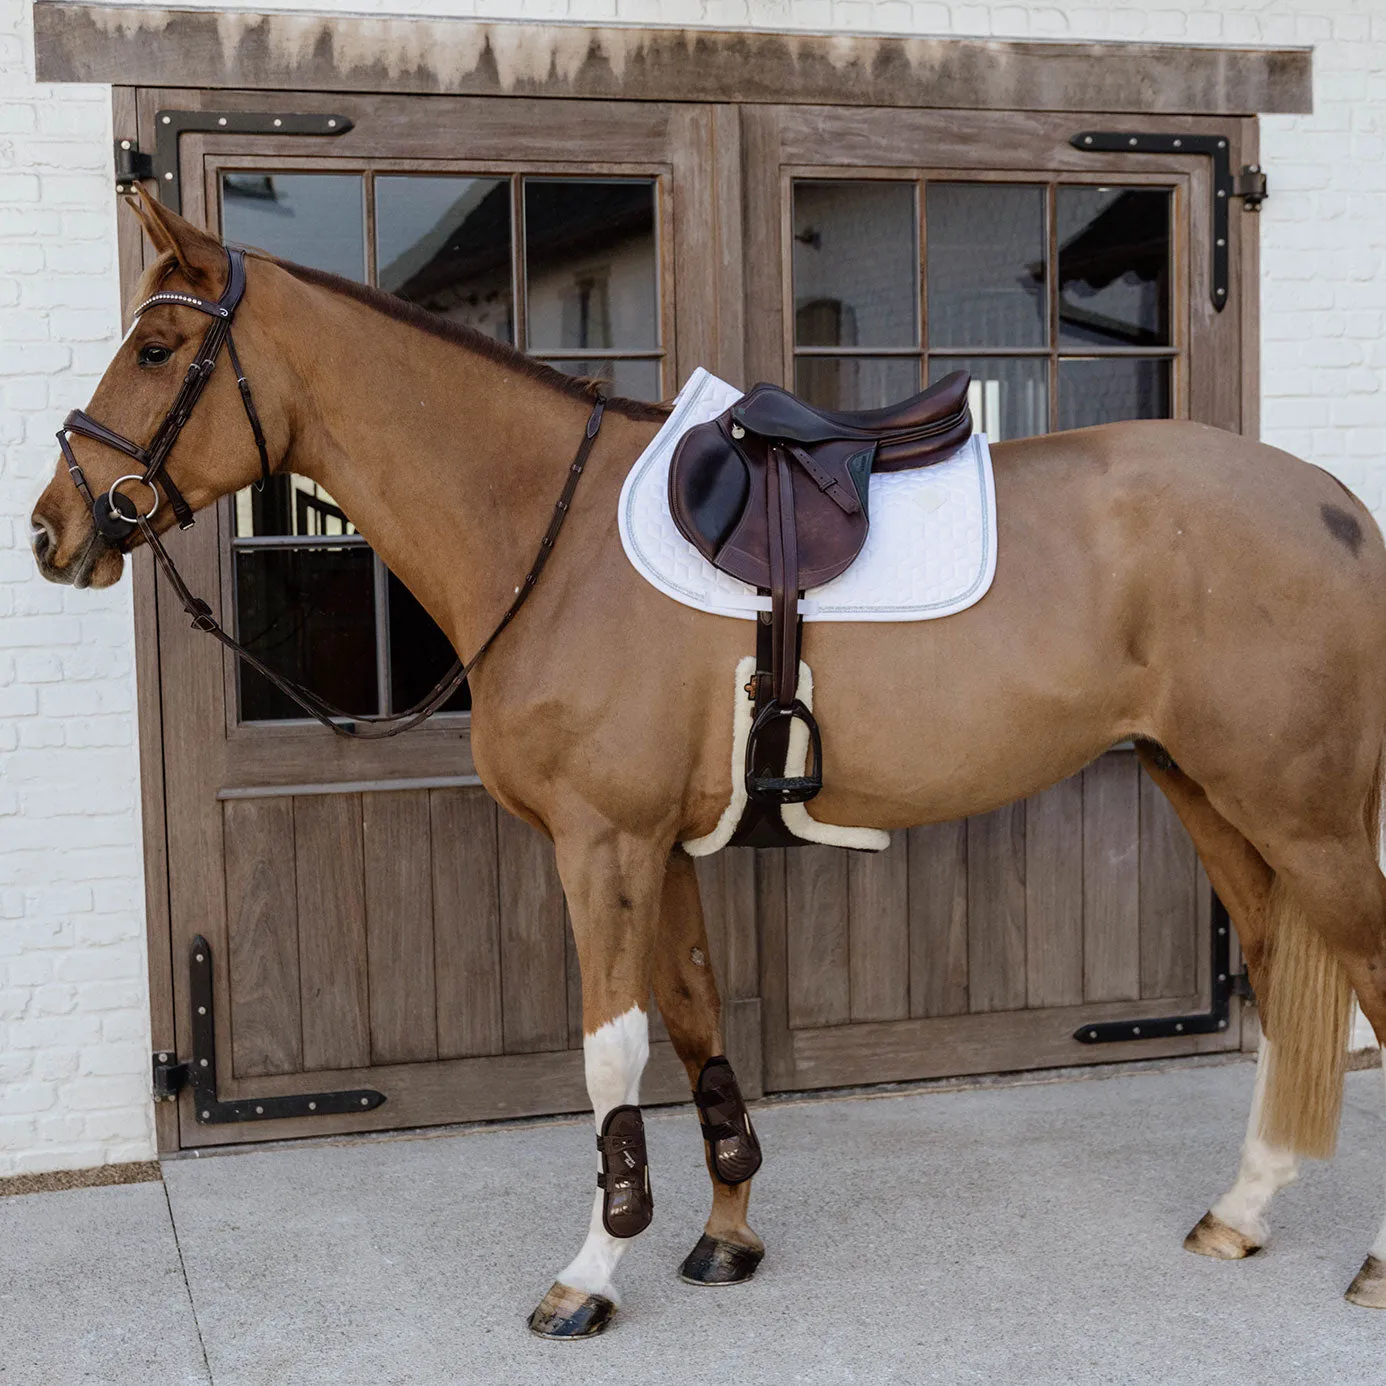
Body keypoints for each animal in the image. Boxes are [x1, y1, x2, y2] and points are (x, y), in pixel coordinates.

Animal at [27, 198, 1386, 1330]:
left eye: (159, 350)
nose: (54, 528)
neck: (554, 536)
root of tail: (1337, 507)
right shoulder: (657, 850)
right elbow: (690, 1026)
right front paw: (727, 1235)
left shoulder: (602, 847)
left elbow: (611, 1052)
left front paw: (589, 1274)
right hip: (1209, 794)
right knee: (1281, 975)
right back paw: (1242, 1212)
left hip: (1303, 816)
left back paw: (1366, 1263)